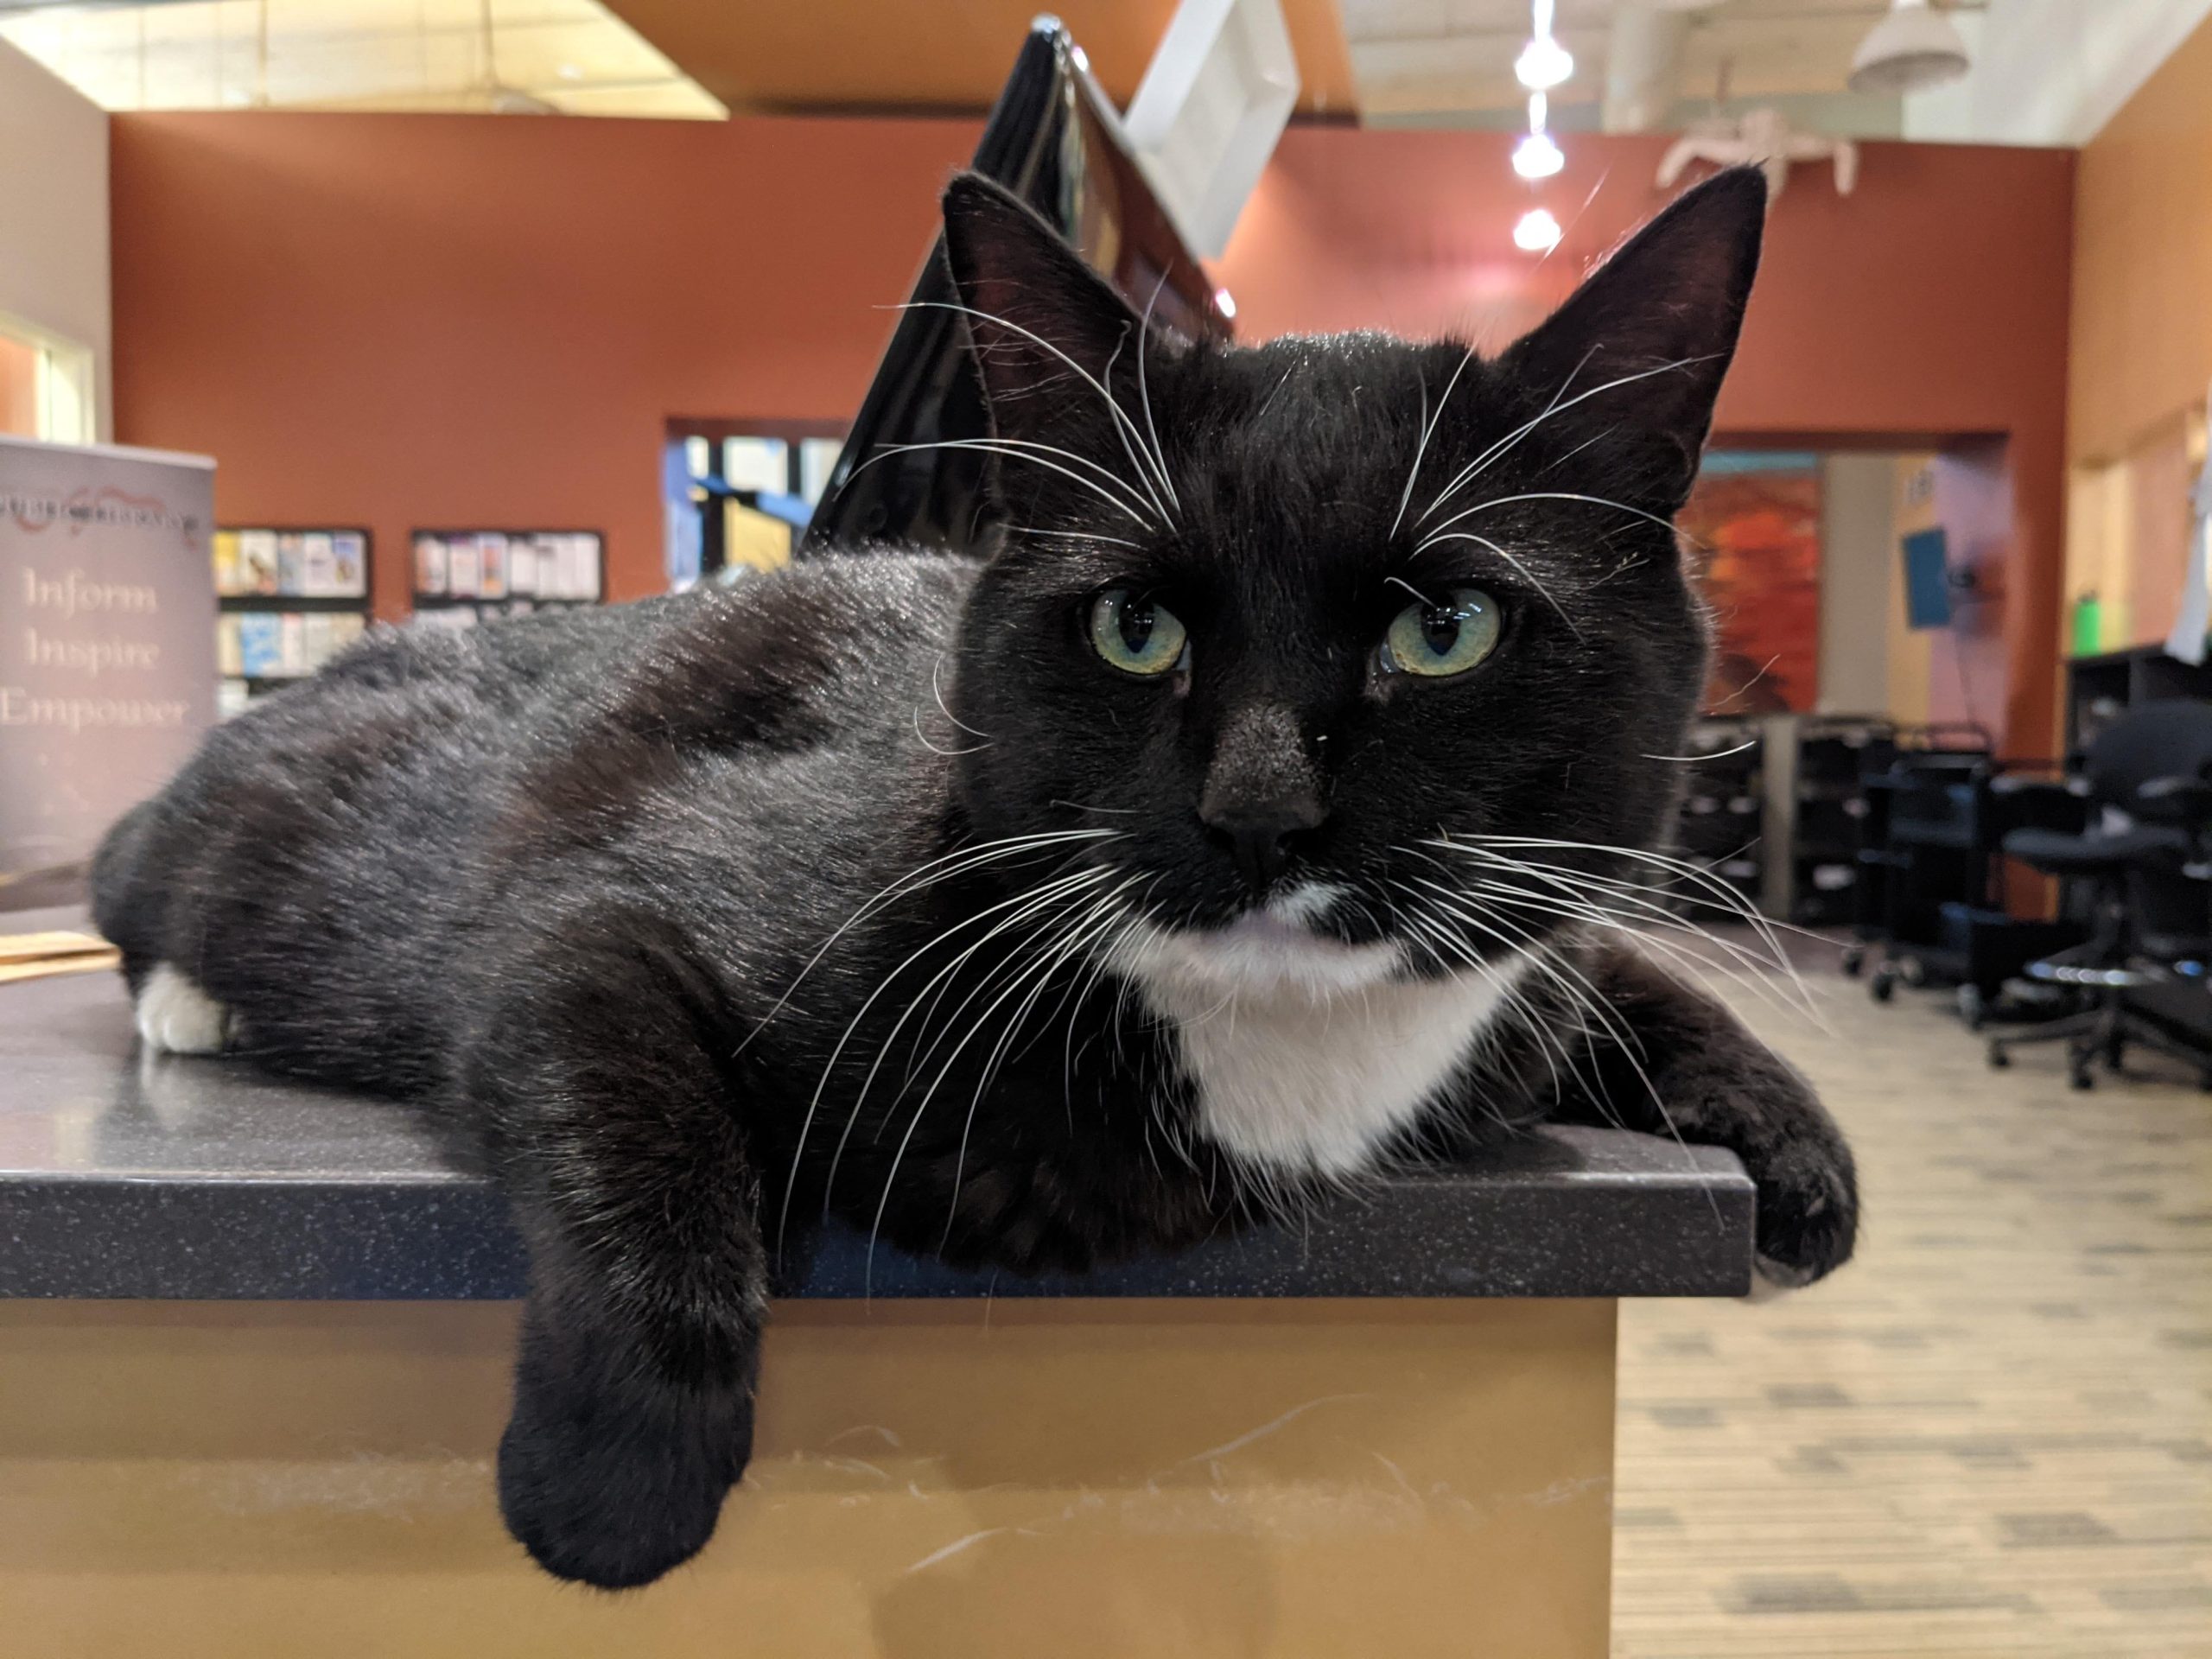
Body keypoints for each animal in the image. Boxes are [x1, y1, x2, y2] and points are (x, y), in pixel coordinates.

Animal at [90, 162, 1849, 1592]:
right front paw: (614, 1484)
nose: (1258, 809)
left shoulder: (1521, 954)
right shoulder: (608, 903)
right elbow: (617, 1075)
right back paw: (192, 1007)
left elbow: (1598, 967)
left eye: (1447, 629)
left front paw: (1800, 1154)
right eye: (1134, 627)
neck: (1273, 1040)